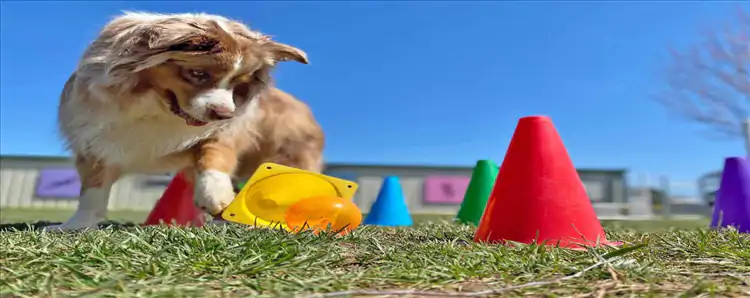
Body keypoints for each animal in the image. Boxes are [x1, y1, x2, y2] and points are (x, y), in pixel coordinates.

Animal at [51, 11, 324, 230]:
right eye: (197, 74)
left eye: (239, 85)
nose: (224, 113)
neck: (154, 108)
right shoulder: (95, 137)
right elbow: (93, 189)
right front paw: (75, 226)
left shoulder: (222, 131)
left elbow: (214, 151)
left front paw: (215, 194)